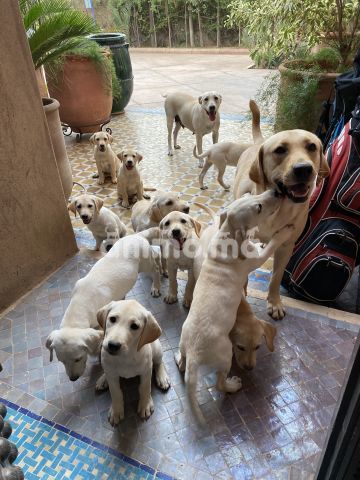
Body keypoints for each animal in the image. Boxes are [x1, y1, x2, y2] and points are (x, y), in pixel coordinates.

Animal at [233, 101, 330, 318]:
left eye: (312, 146)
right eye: (279, 150)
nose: (303, 169)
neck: (277, 207)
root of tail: (259, 143)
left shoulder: (287, 246)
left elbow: (276, 277)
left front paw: (274, 302)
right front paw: (241, 292)